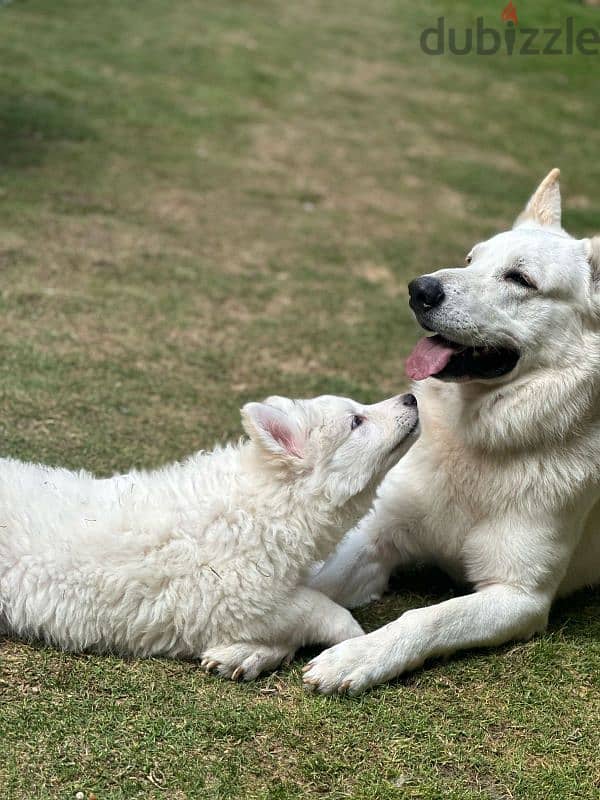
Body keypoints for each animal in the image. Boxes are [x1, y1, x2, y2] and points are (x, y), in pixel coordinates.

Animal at [0, 390, 418, 680]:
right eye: (356, 422)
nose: (412, 397)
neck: (265, 502)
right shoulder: (237, 599)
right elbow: (323, 610)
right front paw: (354, 640)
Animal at [304, 169, 600, 692]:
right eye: (470, 260)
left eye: (520, 279)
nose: (418, 289)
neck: (478, 445)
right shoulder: (377, 536)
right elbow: (319, 584)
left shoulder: (517, 598)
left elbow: (429, 617)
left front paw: (358, 656)